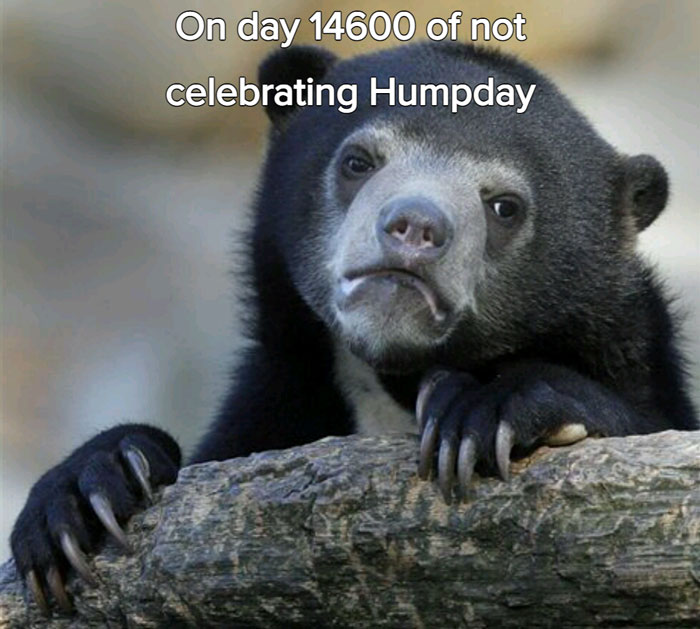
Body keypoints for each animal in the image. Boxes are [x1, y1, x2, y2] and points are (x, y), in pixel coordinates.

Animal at [10, 42, 698, 614]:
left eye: (504, 206)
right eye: (358, 161)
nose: (415, 227)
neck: (391, 379)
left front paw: (482, 409)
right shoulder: (283, 392)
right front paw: (85, 494)